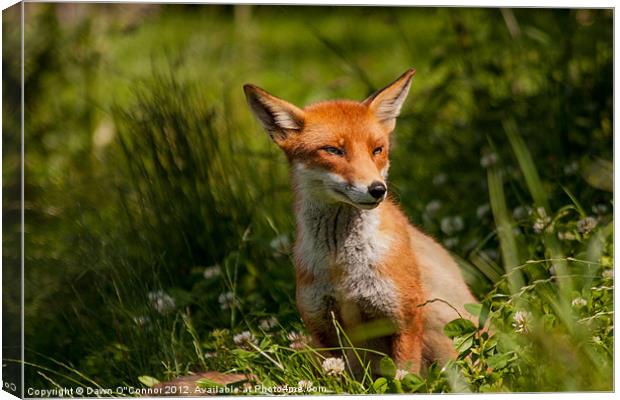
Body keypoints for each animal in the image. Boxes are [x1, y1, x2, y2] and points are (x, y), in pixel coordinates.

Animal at [245, 69, 478, 376]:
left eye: (377, 150)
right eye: (333, 150)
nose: (378, 189)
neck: (342, 267)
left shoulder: (404, 318)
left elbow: (405, 377)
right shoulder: (322, 328)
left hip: (440, 319)